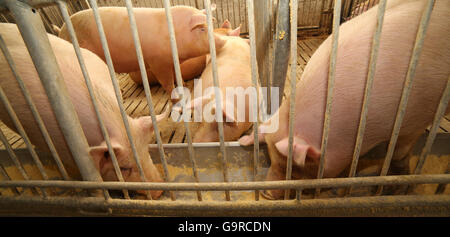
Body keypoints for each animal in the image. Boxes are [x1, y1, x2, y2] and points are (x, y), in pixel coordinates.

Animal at [59, 5, 229, 97]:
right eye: (202, 29)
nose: (224, 41)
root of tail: (61, 32)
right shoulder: (157, 62)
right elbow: (167, 82)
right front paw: (176, 97)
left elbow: (177, 75)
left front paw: (185, 85)